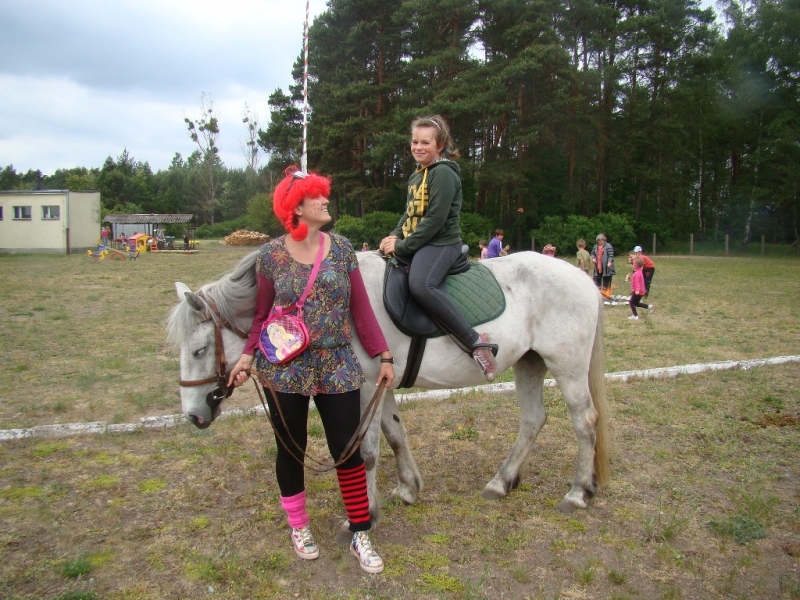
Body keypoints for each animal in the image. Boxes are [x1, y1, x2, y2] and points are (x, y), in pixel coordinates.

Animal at [167, 251, 608, 516]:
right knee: (533, 420)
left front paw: (367, 514)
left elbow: (366, 450)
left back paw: (577, 492)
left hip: (566, 367)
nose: (193, 415)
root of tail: (584, 278)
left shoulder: (363, 387)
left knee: (585, 421)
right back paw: (502, 482)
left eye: (200, 349)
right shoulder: (382, 384)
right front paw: (409, 488)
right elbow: (396, 435)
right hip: (530, 363)